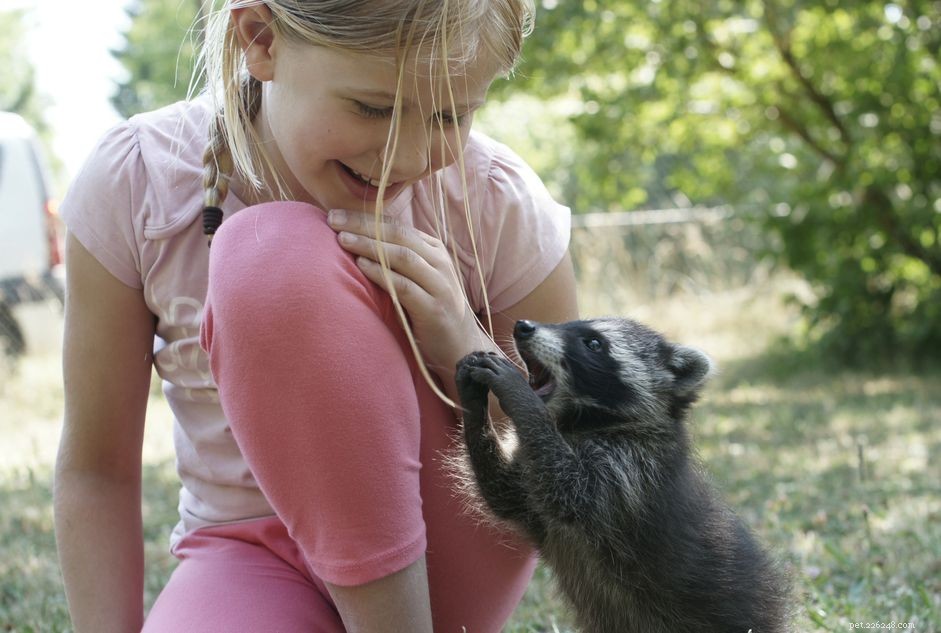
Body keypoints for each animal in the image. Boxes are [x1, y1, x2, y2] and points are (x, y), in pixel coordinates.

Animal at [454, 318, 789, 633]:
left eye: (593, 343)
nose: (523, 327)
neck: (581, 424)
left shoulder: (632, 469)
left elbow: (569, 489)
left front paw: (520, 397)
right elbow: (503, 492)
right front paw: (473, 406)